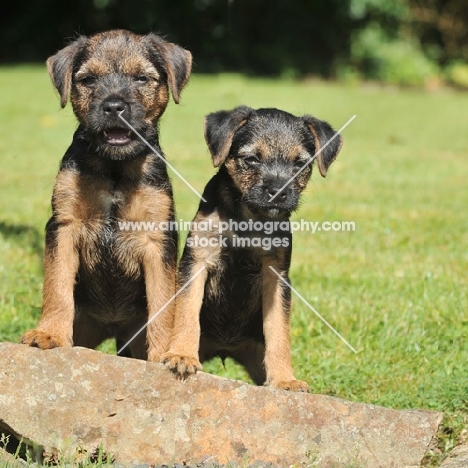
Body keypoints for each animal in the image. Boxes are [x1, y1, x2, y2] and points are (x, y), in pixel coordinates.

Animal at [20, 30, 192, 362]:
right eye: (88, 80)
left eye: (141, 78)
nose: (114, 106)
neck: (115, 168)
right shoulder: (64, 226)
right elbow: (57, 286)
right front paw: (49, 334)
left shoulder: (157, 236)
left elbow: (163, 301)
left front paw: (163, 352)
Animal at [163, 106, 342, 392]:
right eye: (252, 159)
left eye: (299, 164)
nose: (278, 192)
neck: (247, 219)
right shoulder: (197, 261)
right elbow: (188, 310)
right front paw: (182, 355)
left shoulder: (276, 276)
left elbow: (279, 331)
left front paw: (285, 379)